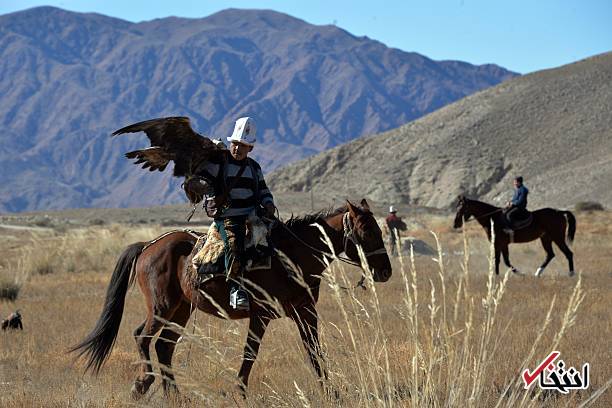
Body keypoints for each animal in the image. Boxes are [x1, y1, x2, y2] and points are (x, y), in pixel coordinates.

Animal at [71, 200, 394, 398]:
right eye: (366, 230)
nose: (386, 271)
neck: (291, 256)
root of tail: (149, 244)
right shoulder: (261, 315)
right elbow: (250, 353)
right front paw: (239, 390)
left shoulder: (305, 312)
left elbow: (314, 350)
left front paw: (331, 391)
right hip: (161, 306)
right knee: (142, 336)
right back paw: (142, 384)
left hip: (181, 310)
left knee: (164, 346)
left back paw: (175, 396)